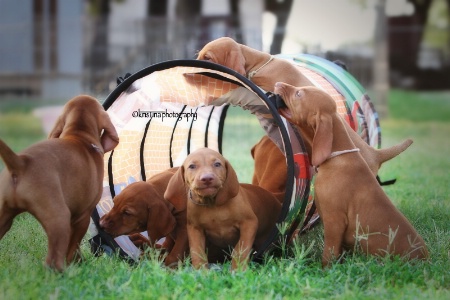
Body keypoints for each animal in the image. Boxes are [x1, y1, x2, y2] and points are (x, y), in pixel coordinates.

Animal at [0, 96, 119, 272]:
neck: (79, 135)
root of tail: (21, 162)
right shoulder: (83, 215)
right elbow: (73, 245)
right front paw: (76, 264)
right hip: (59, 218)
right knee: (53, 261)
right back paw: (63, 274)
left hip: (4, 216)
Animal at [274, 82, 428, 268]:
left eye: (299, 94)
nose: (278, 83)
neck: (337, 157)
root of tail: (426, 258)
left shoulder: (335, 221)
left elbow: (329, 252)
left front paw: (325, 270)